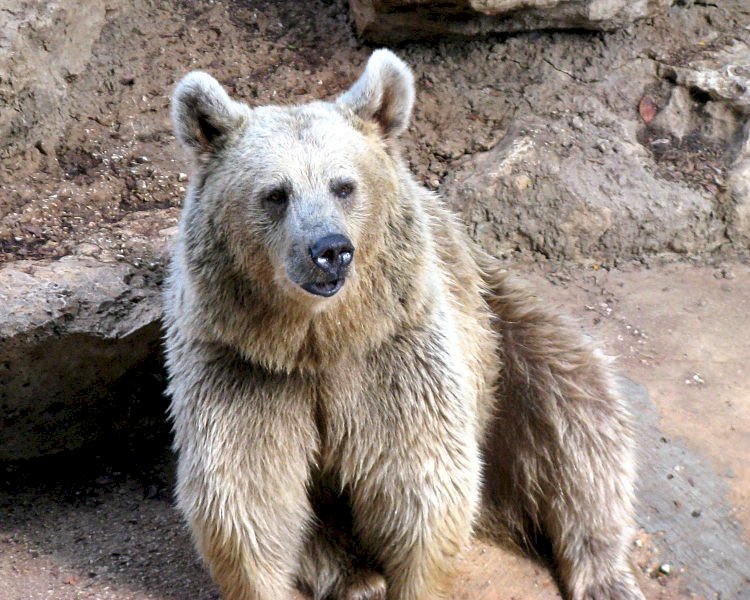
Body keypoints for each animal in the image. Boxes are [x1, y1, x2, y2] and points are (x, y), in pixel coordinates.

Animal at [164, 49, 644, 600]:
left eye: (344, 185)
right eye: (276, 194)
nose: (330, 250)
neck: (318, 341)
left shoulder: (395, 350)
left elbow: (419, 481)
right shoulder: (241, 367)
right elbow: (245, 494)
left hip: (501, 328)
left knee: (578, 413)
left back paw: (605, 573)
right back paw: (354, 575)